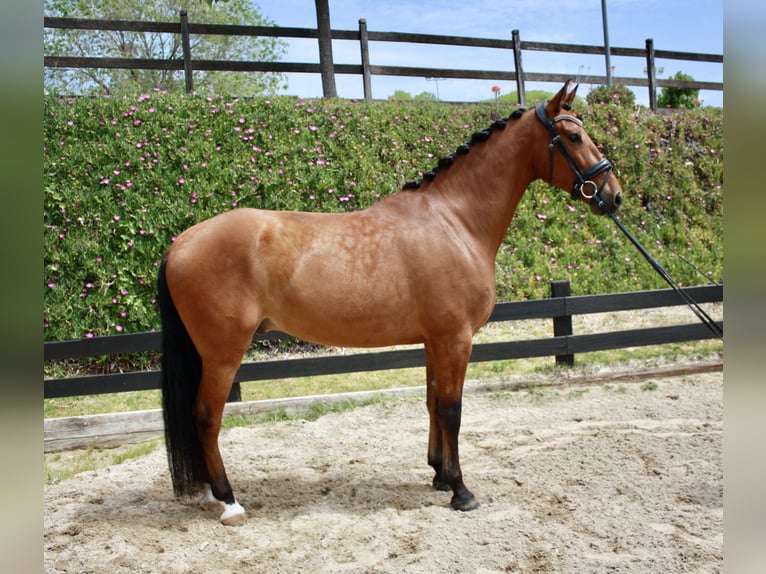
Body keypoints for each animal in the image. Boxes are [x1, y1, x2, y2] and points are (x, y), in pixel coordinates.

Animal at [158, 80, 623, 525]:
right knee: (206, 417)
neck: (453, 220)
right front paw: (461, 491)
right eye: (575, 136)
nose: (613, 195)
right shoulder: (456, 339)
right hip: (222, 353)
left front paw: (439, 475)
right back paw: (229, 501)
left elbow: (433, 403)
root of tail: (181, 241)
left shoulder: (435, 341)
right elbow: (452, 410)